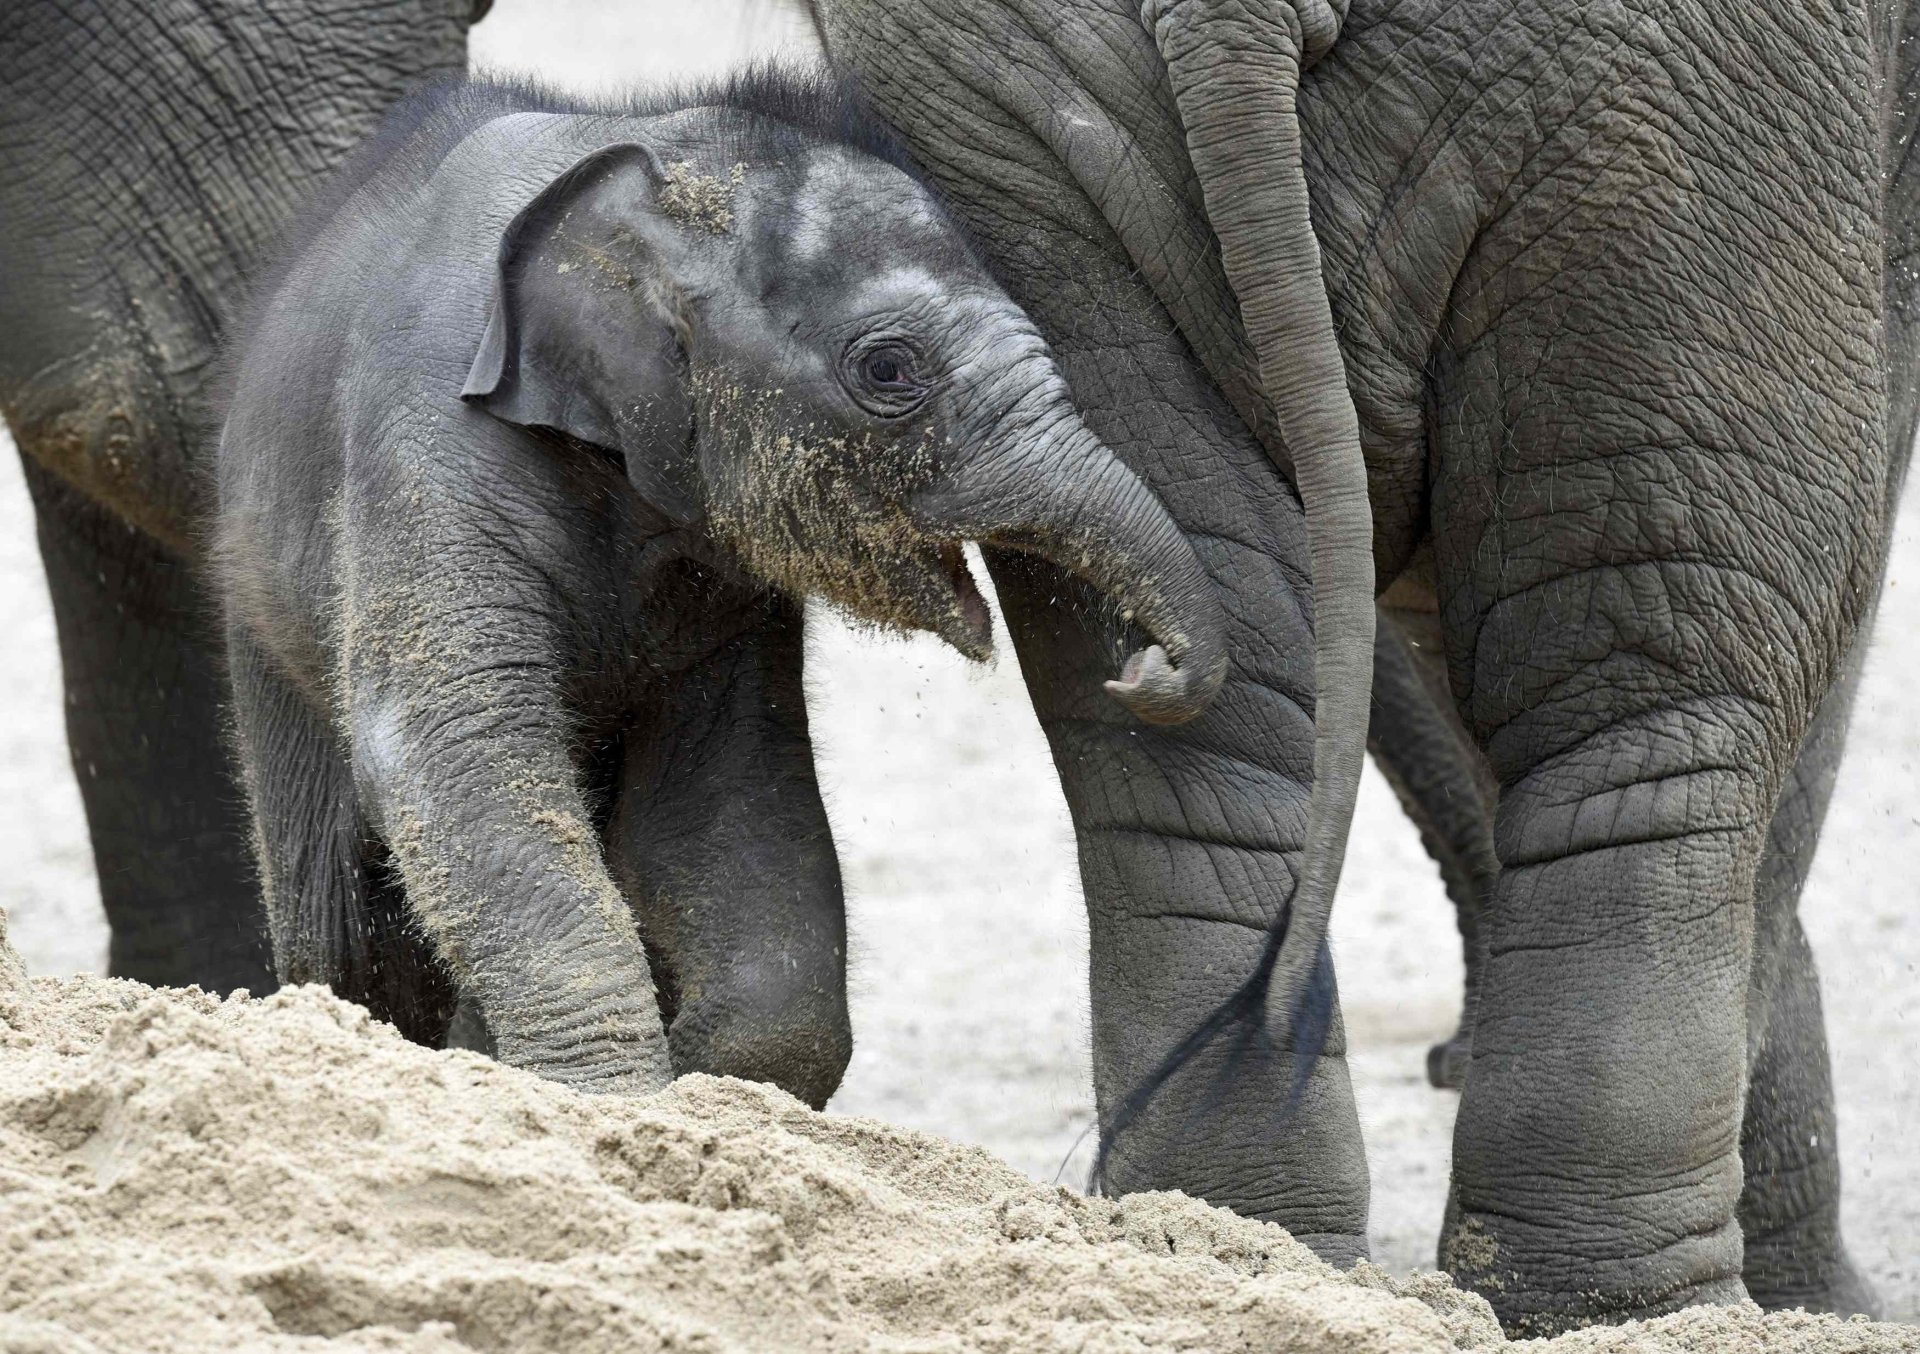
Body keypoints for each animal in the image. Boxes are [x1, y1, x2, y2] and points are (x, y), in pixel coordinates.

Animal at [212, 72, 1229, 1102]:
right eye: (890, 369)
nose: (1145, 673)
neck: (644, 165)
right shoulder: (428, 432)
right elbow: (456, 739)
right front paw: (612, 1101)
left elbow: (730, 798)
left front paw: (701, 1089)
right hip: (259, 619)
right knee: (349, 927)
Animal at [806, 0, 1920, 1333]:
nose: (1442, 1055)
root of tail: (1229, 17)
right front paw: (1836, 1302)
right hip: (1690, 113)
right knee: (1666, 675)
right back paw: (1637, 1312)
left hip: (990, 120)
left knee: (1197, 702)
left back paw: (1234, 1247)